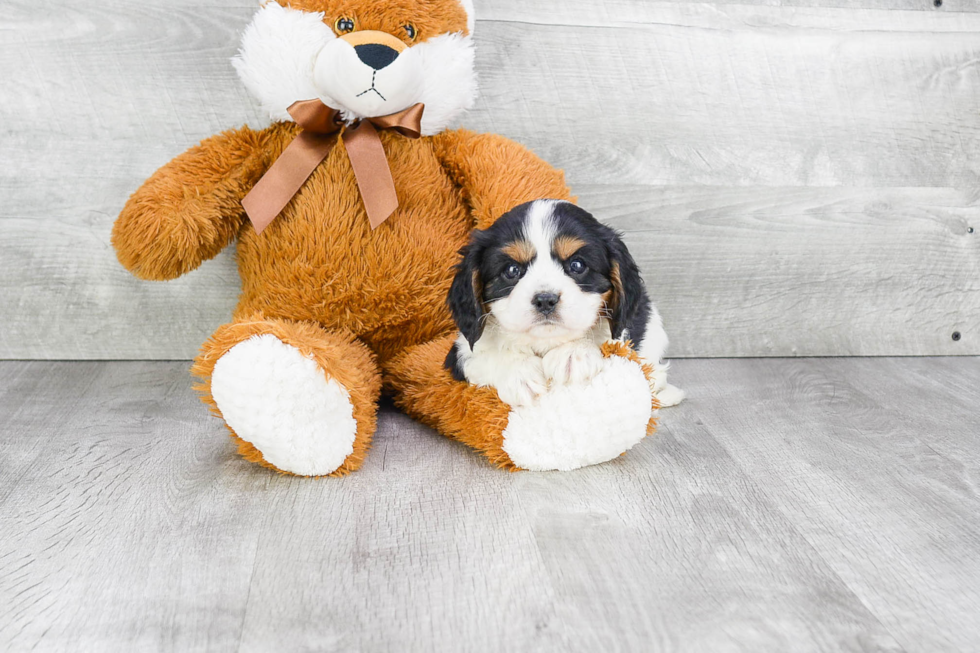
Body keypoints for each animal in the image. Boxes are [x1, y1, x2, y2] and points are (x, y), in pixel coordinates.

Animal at [444, 199, 680, 408]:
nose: (545, 300)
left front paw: (574, 352)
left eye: (577, 265)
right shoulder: (459, 354)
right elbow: (482, 357)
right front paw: (519, 373)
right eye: (512, 270)